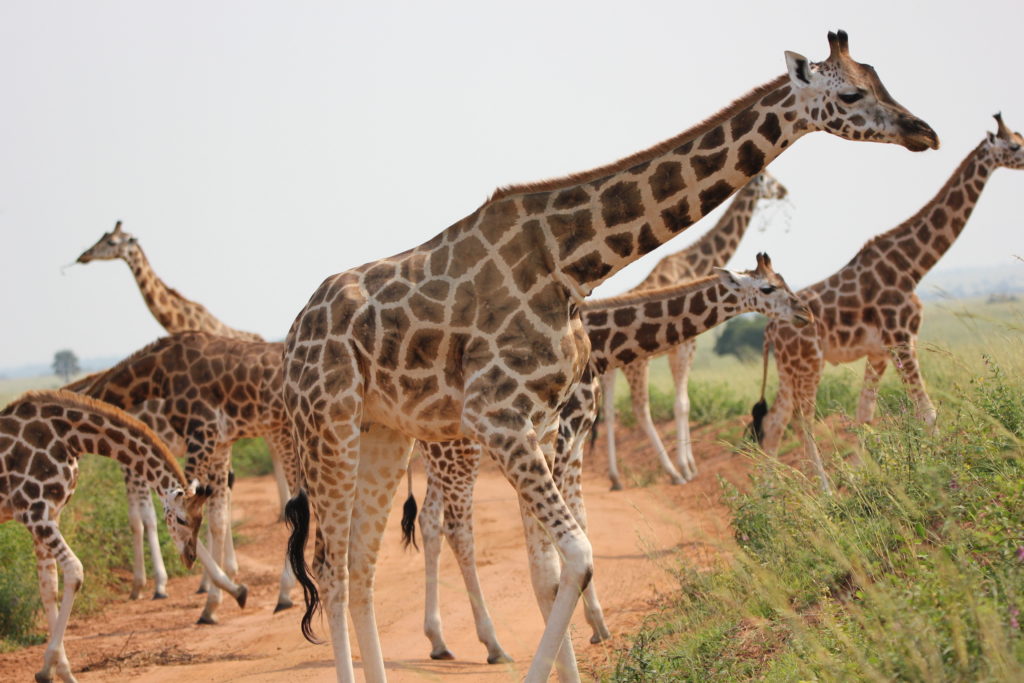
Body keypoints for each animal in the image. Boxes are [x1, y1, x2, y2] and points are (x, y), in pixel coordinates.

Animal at [0, 389, 209, 683]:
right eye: (181, 519)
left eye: (200, 520)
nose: (190, 557)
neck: (69, 438)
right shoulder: (34, 512)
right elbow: (74, 571)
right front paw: (58, 672)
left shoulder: (49, 514)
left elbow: (48, 587)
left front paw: (52, 671)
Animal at [70, 331, 294, 626]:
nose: (187, 559)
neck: (157, 372)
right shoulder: (218, 443)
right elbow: (217, 519)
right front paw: (219, 595)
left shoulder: (198, 435)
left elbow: (147, 518)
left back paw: (286, 592)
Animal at [411, 252, 811, 663]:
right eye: (768, 288)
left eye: (784, 281)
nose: (804, 313)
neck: (601, 345)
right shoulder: (564, 435)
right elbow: (566, 530)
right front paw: (578, 632)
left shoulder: (575, 440)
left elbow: (581, 520)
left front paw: (596, 624)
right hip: (462, 451)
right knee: (459, 530)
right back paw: (493, 644)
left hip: (439, 450)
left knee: (430, 520)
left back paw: (438, 640)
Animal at [598, 174, 790, 489]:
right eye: (771, 180)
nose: (784, 191)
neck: (694, 264)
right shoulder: (687, 344)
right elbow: (682, 403)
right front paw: (687, 467)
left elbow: (683, 401)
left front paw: (688, 464)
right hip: (638, 364)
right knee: (640, 409)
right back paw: (672, 473)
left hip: (612, 369)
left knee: (610, 410)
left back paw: (615, 477)